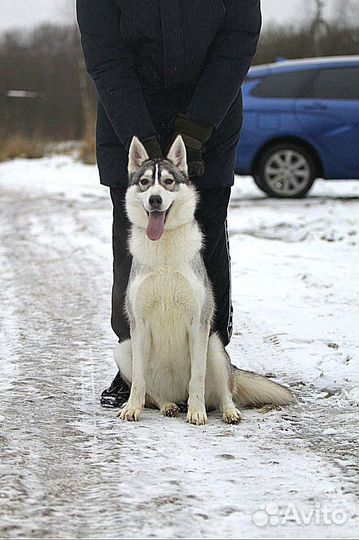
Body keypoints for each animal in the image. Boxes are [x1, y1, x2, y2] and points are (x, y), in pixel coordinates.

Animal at [116, 136, 296, 426]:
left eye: (168, 181)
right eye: (144, 182)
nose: (155, 199)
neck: (164, 251)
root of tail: (176, 394)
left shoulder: (198, 323)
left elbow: (197, 378)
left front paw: (197, 412)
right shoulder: (138, 324)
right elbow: (140, 381)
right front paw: (132, 408)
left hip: (215, 346)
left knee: (224, 392)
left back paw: (227, 411)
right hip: (124, 349)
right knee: (155, 394)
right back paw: (168, 406)